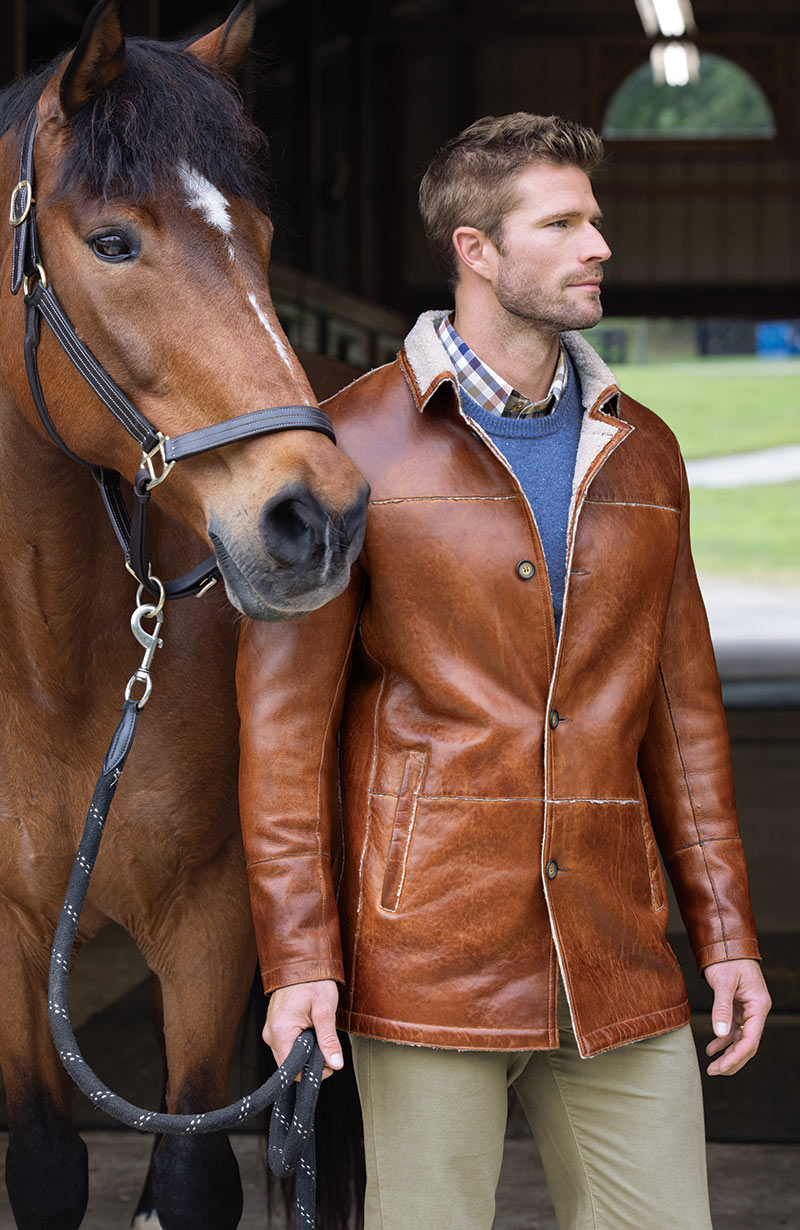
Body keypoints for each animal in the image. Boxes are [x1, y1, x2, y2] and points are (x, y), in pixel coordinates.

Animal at [0, 4, 366, 1225]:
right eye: (114, 242)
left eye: (259, 233)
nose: (317, 518)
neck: (52, 662)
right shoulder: (10, 937)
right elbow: (43, 1162)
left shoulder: (213, 923)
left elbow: (196, 1175)